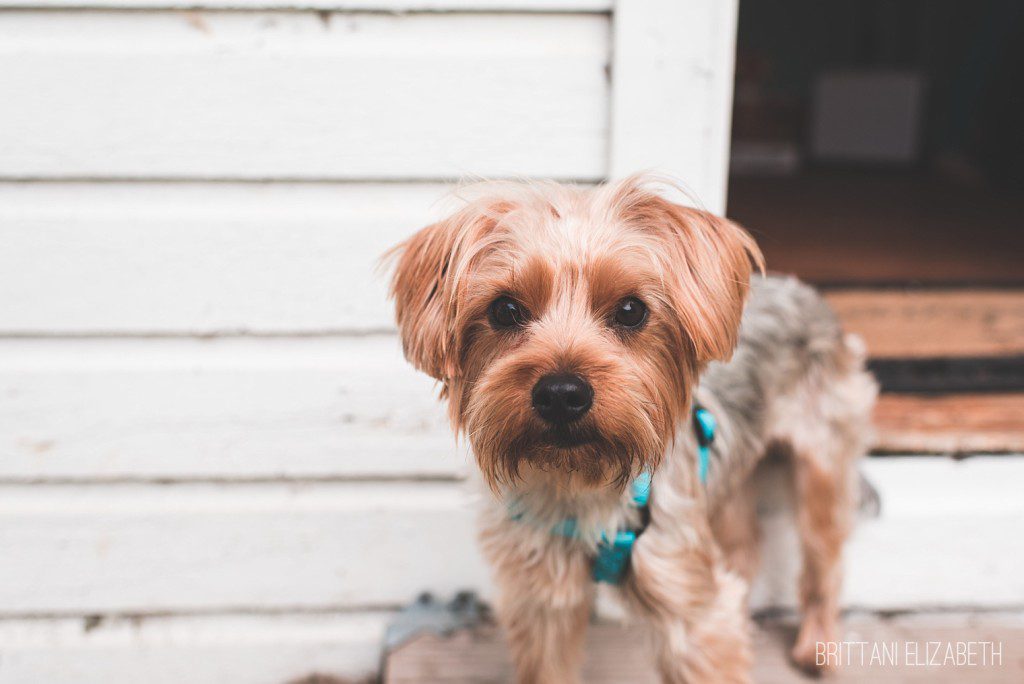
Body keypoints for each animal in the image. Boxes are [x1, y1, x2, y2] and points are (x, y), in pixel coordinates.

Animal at [387, 178, 876, 684]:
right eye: (504, 310)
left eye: (630, 309)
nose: (562, 393)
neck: (580, 484)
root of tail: (805, 289)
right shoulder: (542, 602)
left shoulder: (693, 613)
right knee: (744, 543)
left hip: (824, 462)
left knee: (823, 557)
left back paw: (817, 644)